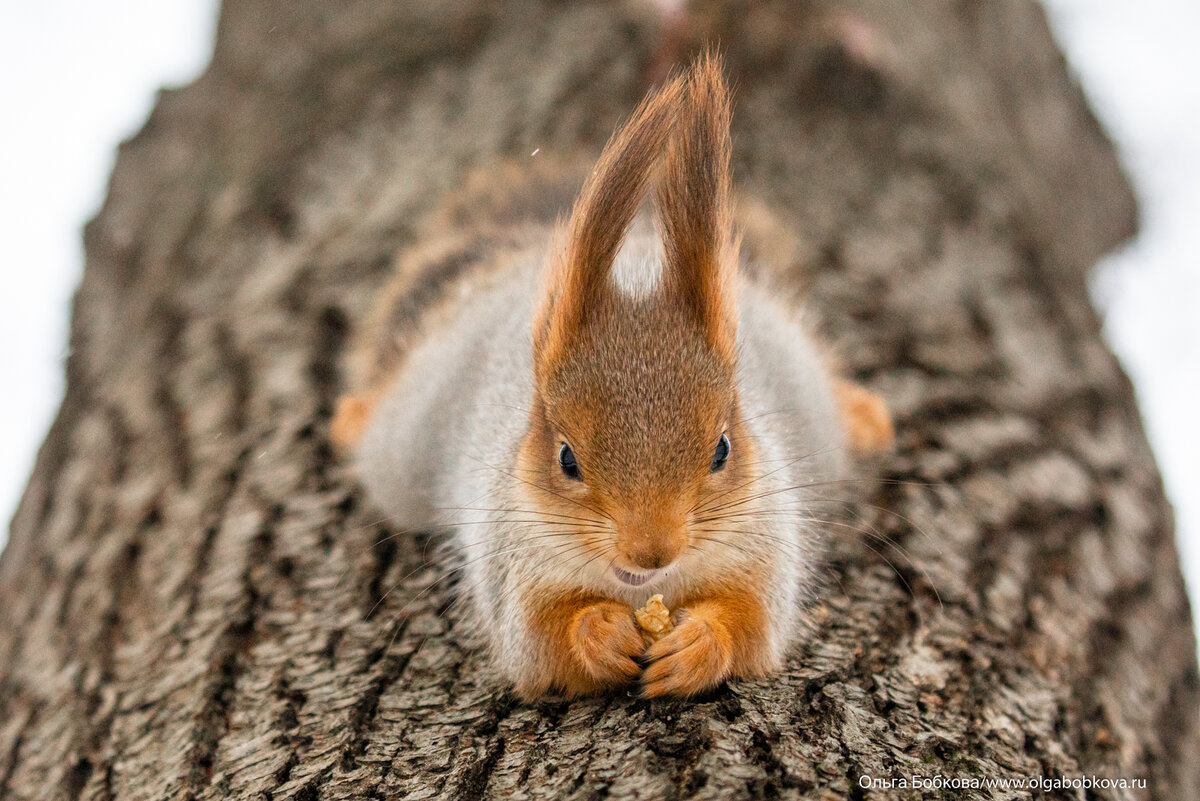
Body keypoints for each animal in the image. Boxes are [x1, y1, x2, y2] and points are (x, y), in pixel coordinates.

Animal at [328, 53, 892, 695]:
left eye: (722, 449)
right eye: (566, 459)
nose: (652, 552)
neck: (647, 591)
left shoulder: (767, 548)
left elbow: (752, 626)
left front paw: (699, 644)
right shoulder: (513, 568)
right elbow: (540, 643)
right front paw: (599, 635)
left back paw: (863, 414)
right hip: (407, 440)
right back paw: (352, 415)